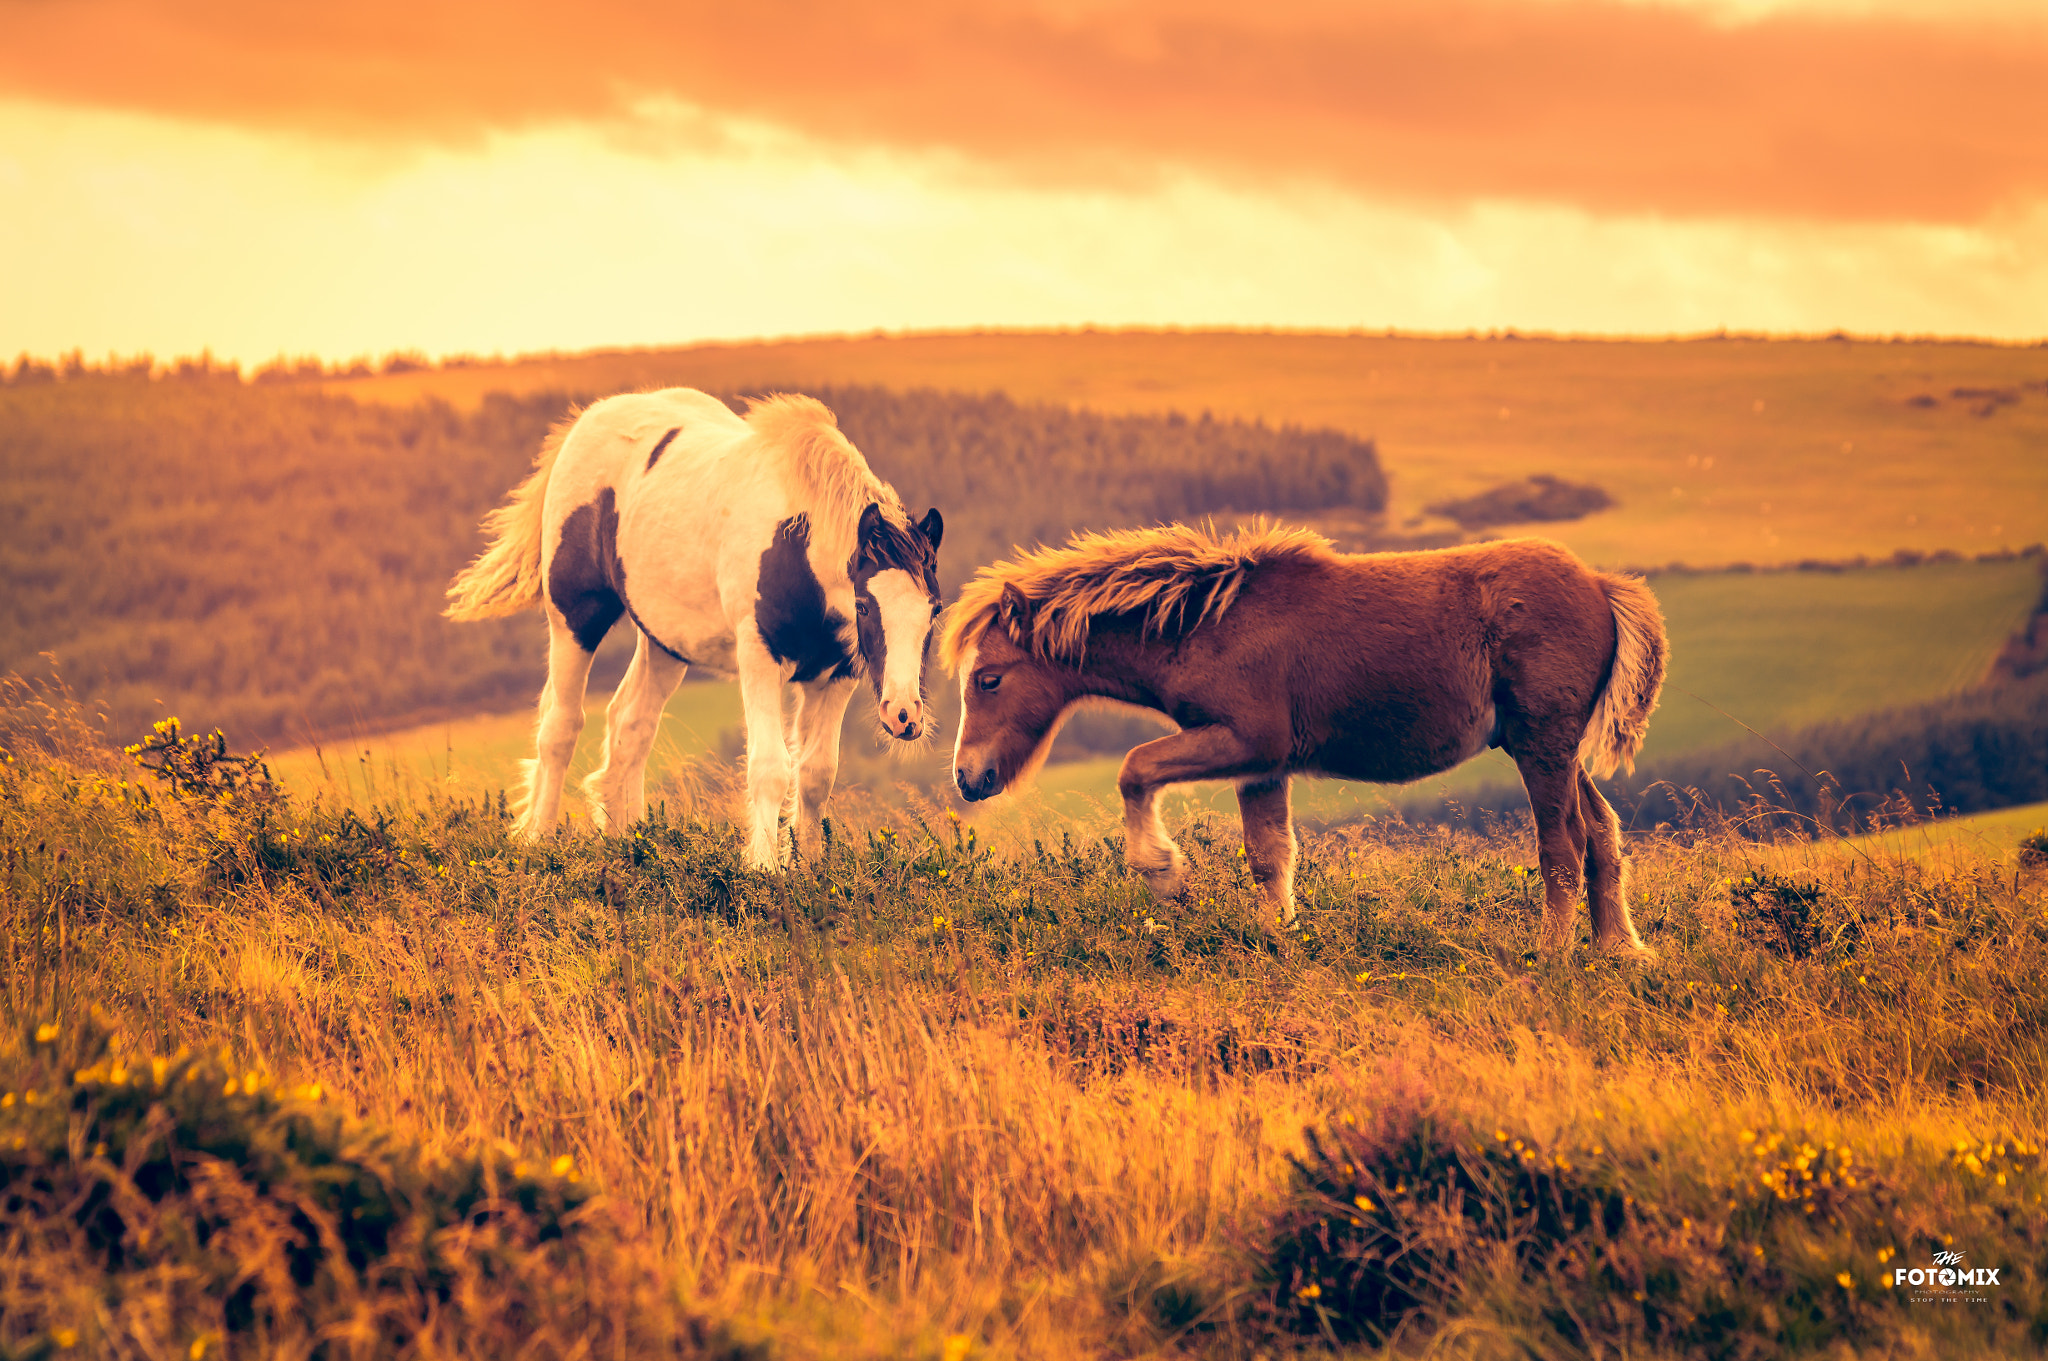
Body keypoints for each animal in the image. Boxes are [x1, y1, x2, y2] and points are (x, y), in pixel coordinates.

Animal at [448, 386, 942, 863]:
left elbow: (817, 775)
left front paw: (810, 871)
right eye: (864, 605)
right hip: (574, 618)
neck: (795, 544)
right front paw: (764, 869)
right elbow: (769, 768)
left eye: (934, 610)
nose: (904, 715)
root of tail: (585, 422)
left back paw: (630, 842)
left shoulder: (836, 675)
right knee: (561, 725)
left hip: (664, 643)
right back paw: (538, 841)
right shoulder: (759, 658)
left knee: (631, 724)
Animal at [942, 521, 1662, 953]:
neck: (1204, 623)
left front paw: (1165, 874)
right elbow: (1269, 853)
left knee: (1563, 842)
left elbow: (1135, 767)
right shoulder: (1262, 763)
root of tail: (1601, 586)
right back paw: (1620, 951)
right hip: (1550, 746)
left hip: (1542, 743)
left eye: (988, 678)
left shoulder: (1245, 740)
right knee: (1601, 830)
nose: (967, 776)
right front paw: (1277, 936)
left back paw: (1554, 955)